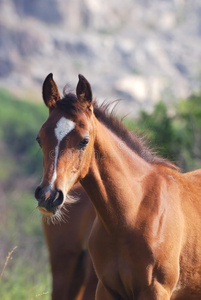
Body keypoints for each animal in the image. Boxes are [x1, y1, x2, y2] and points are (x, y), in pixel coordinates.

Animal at [35, 73, 201, 300]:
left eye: (84, 141)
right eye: (39, 139)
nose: (49, 196)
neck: (135, 213)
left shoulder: (156, 291)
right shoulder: (106, 289)